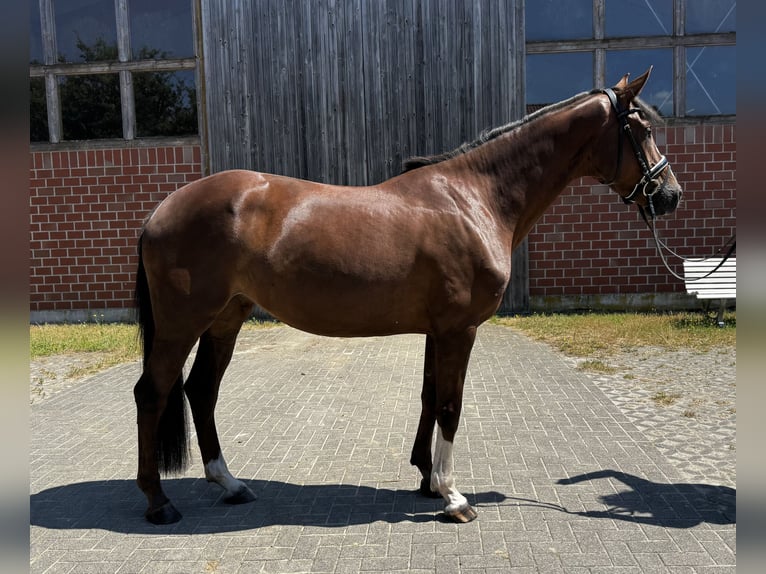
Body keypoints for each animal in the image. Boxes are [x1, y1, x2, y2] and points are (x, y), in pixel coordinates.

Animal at [133, 68, 681, 524]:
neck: (474, 199)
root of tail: (163, 209)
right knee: (153, 393)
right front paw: (453, 497)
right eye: (644, 130)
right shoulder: (459, 330)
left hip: (227, 316)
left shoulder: (437, 330)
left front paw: (426, 479)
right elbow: (451, 405)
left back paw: (229, 484)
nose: (670, 195)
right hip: (182, 322)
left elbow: (429, 396)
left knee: (202, 390)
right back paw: (159, 503)